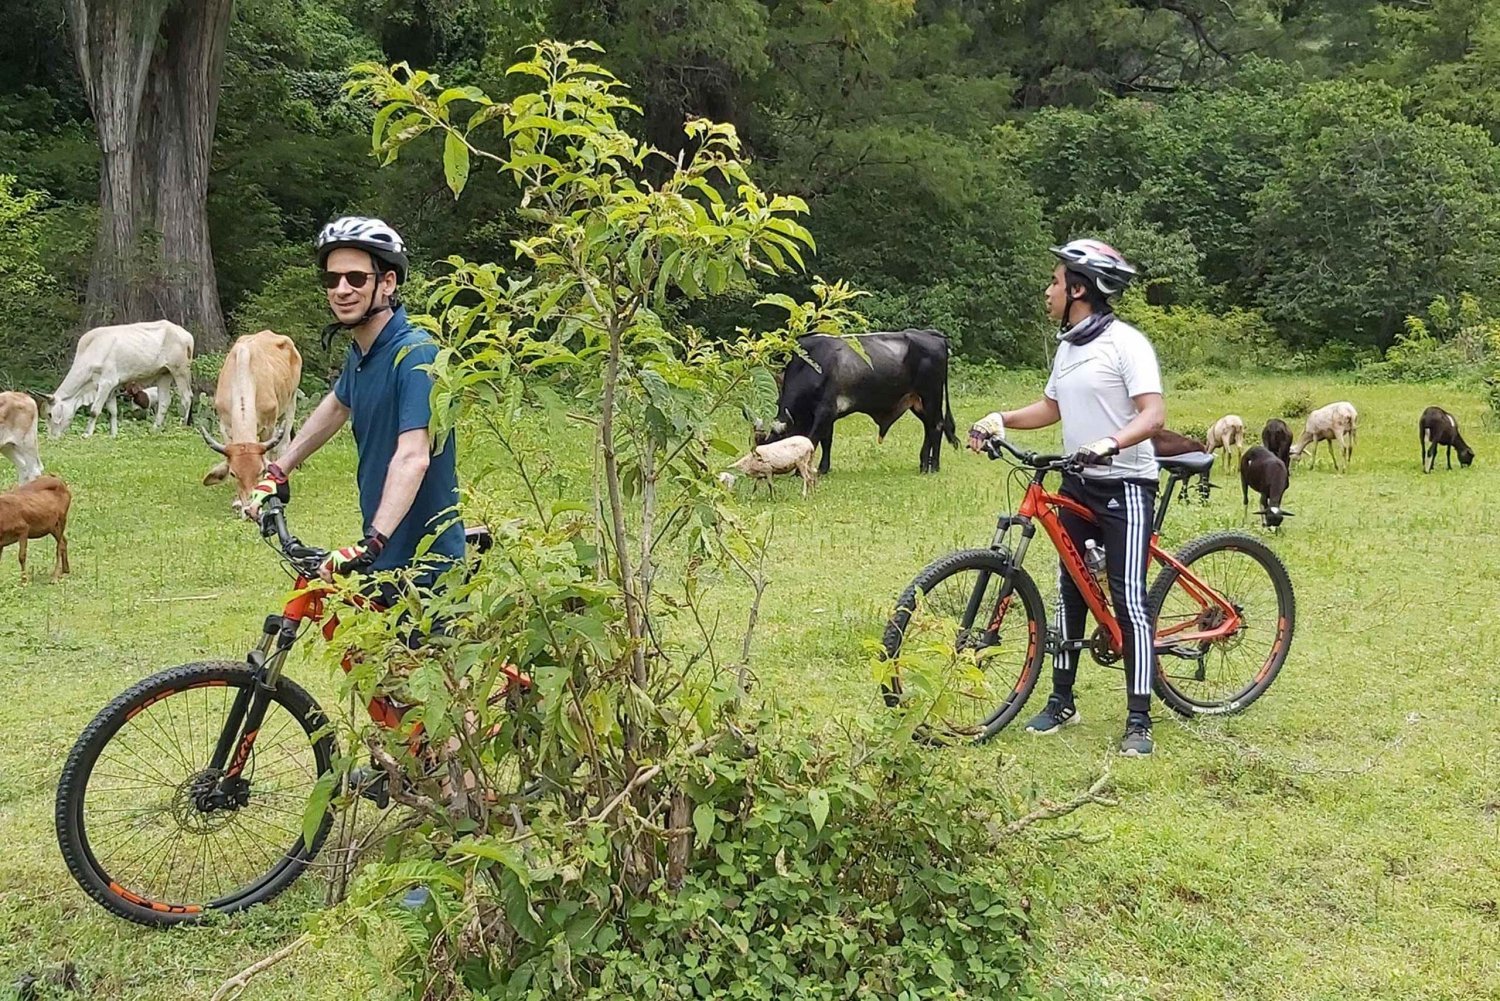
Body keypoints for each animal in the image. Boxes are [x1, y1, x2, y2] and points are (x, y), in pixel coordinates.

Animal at [48, 321, 193, 438]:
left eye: (49, 414)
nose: (51, 438)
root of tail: (185, 334)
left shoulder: (106, 383)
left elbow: (94, 410)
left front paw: (87, 434)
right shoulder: (112, 387)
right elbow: (112, 411)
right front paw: (113, 434)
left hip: (180, 371)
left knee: (187, 397)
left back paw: (183, 427)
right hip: (164, 373)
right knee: (164, 401)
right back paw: (154, 429)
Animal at [201, 333, 303, 516]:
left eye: (261, 471)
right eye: (233, 474)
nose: (248, 509)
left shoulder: (268, 426)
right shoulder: (225, 427)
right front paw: (236, 501)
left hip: (290, 404)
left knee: (283, 446)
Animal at [756, 327, 954, 471]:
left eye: (773, 445)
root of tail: (930, 334)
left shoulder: (825, 411)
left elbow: (813, 440)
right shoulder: (827, 416)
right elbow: (826, 441)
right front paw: (824, 468)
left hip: (931, 398)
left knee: (936, 427)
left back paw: (933, 467)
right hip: (917, 402)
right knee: (929, 428)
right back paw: (923, 464)